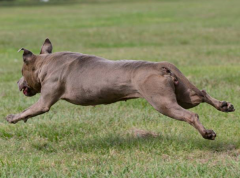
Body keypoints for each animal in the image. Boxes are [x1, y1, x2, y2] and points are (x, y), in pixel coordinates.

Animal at [5, 39, 234, 140]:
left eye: (22, 71)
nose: (16, 83)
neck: (46, 63)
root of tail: (160, 66)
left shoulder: (45, 101)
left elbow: (30, 110)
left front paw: (12, 117)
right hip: (184, 93)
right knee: (201, 94)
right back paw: (225, 105)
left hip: (163, 102)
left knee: (191, 115)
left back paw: (207, 133)